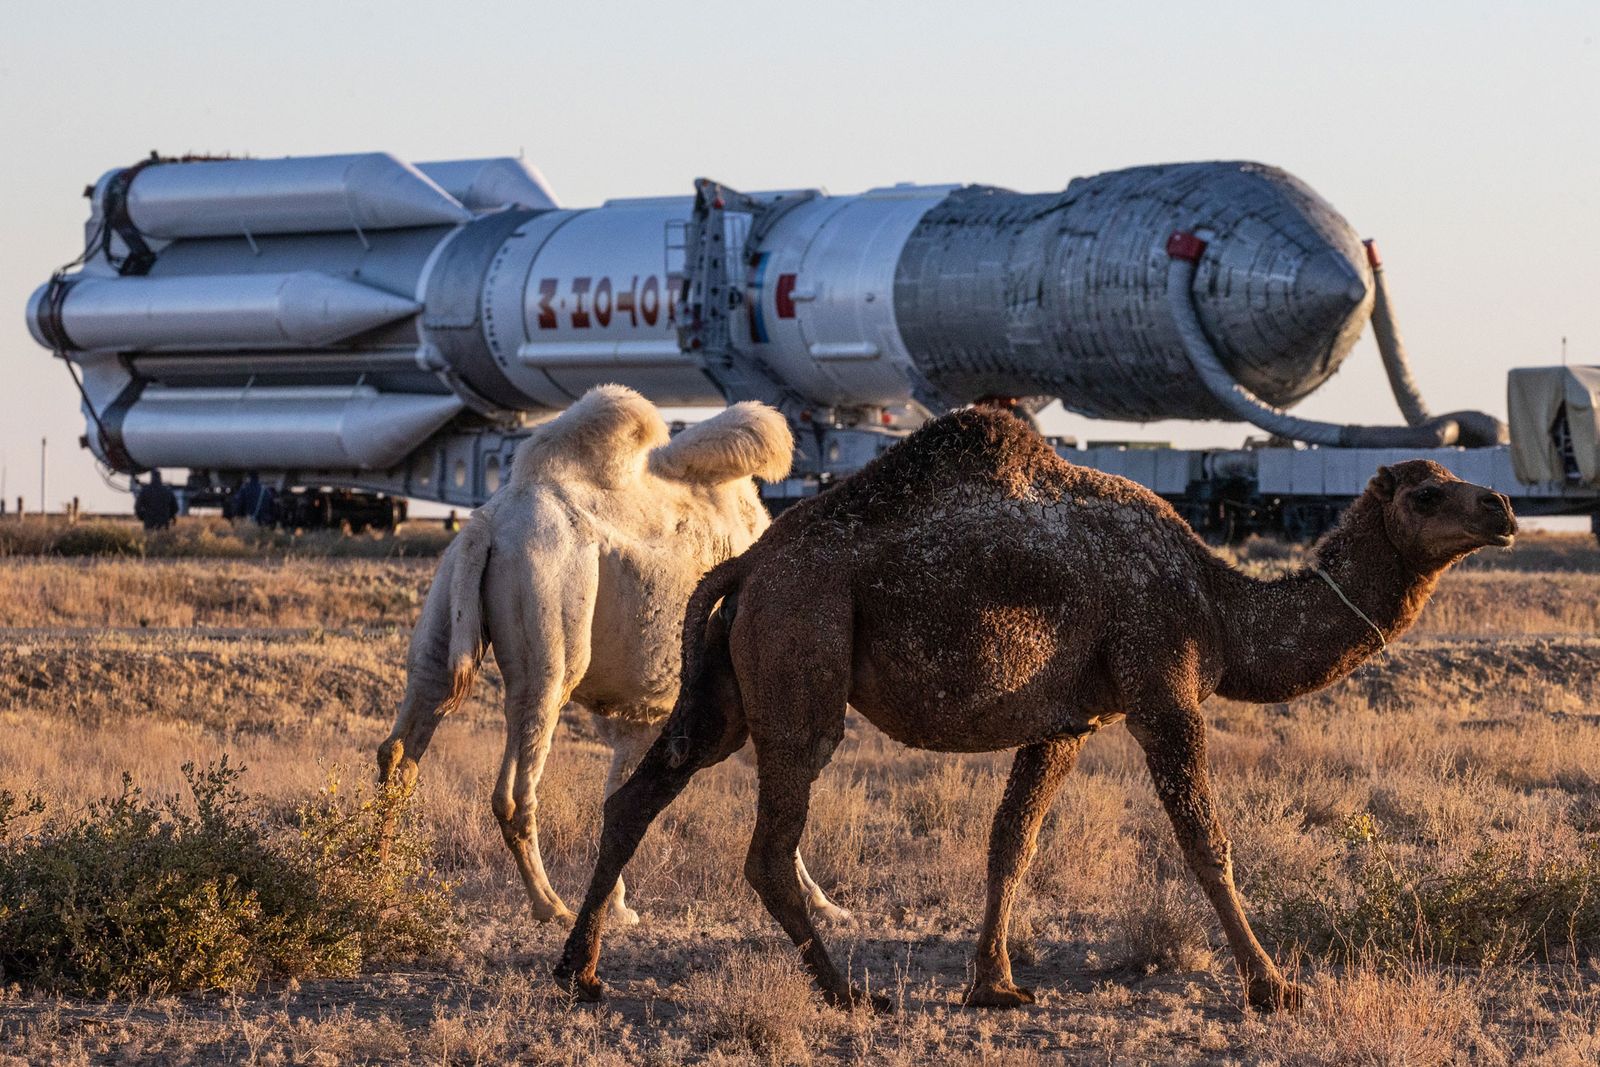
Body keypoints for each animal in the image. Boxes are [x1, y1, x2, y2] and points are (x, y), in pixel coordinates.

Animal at [377, 383, 851, 927]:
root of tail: (489, 524)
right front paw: (824, 903)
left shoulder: (644, 712)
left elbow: (621, 793)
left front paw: (617, 906)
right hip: (551, 628)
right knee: (515, 787)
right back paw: (550, 905)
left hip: (444, 605)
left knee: (403, 742)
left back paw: (377, 878)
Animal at [550, 406, 1510, 1011]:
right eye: (1426, 492)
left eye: (1455, 478)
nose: (1501, 505)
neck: (1219, 603)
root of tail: (747, 564)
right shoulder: (1162, 685)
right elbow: (1206, 841)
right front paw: (1273, 987)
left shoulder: (1067, 721)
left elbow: (1012, 841)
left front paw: (994, 984)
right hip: (802, 648)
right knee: (769, 843)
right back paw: (850, 991)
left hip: (729, 682)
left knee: (643, 791)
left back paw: (579, 971)